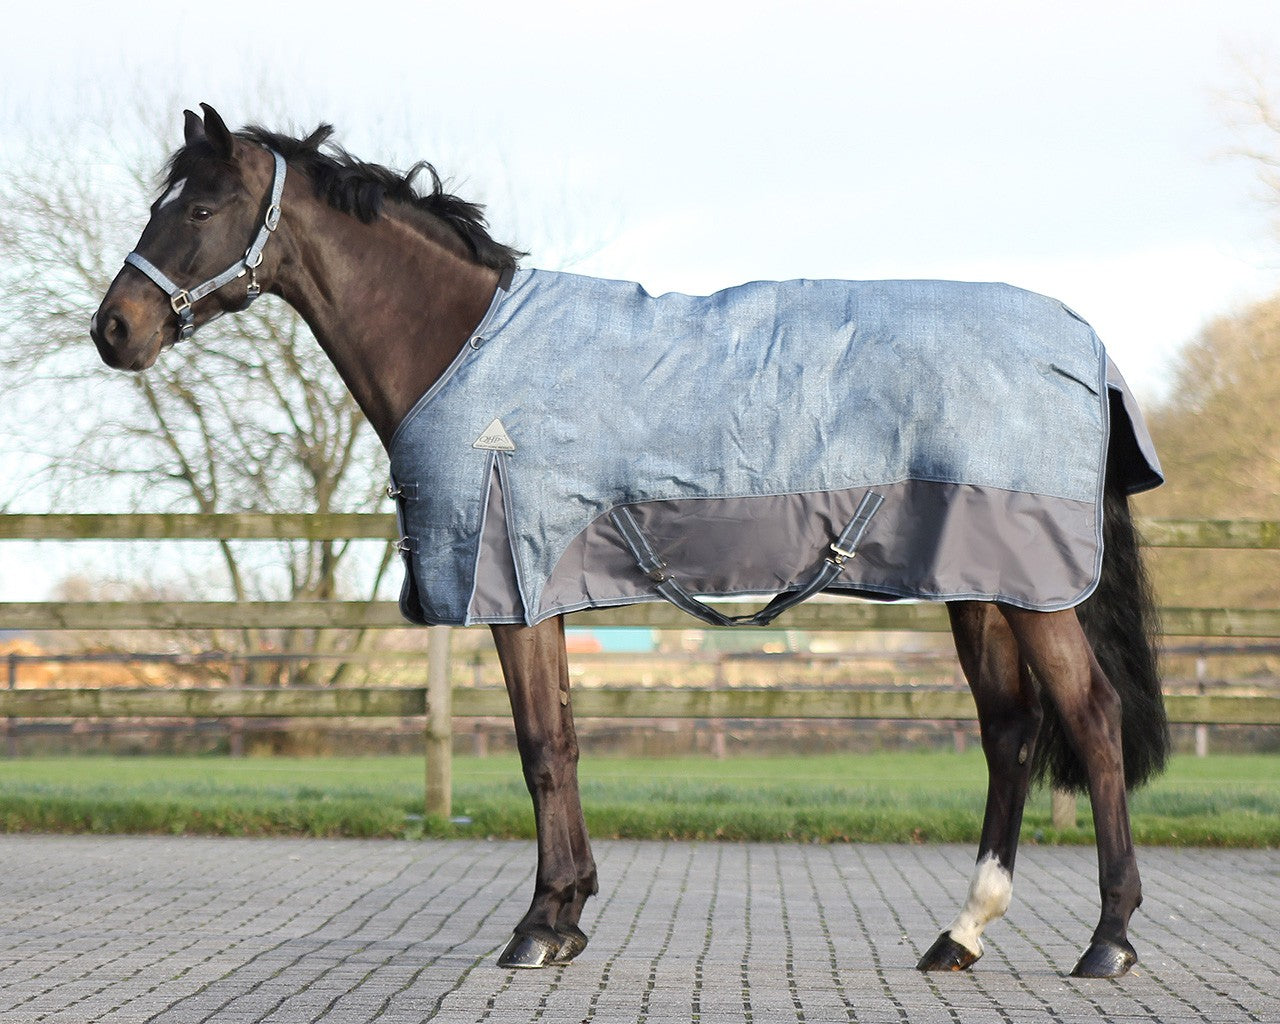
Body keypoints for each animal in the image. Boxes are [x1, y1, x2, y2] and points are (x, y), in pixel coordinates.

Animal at [91, 104, 1170, 979]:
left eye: (200, 210)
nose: (114, 329)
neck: (463, 345)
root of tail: (1081, 342)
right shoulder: (540, 588)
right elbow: (564, 740)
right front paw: (566, 913)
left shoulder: (512, 581)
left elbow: (538, 747)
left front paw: (537, 926)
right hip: (979, 586)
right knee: (1010, 731)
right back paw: (961, 933)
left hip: (1033, 588)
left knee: (1090, 716)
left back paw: (1107, 939)